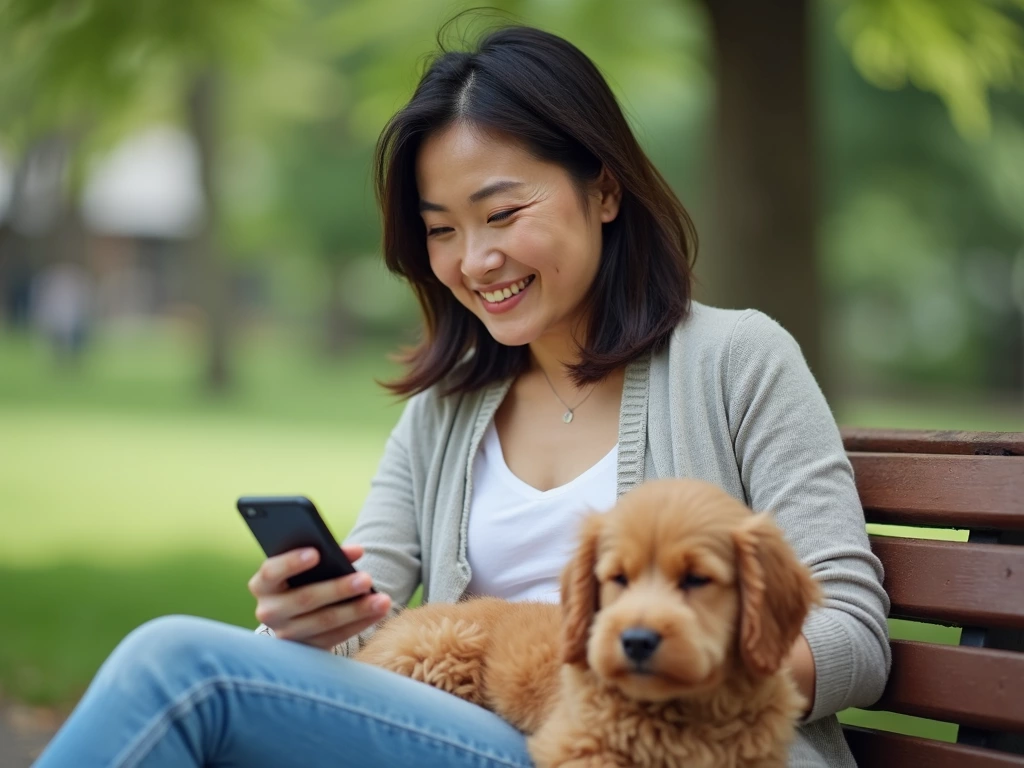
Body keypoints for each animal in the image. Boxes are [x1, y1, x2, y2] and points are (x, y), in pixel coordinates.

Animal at [356, 479, 819, 765]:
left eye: (696, 579)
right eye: (618, 578)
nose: (636, 641)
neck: (687, 709)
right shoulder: (575, 746)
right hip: (442, 651)